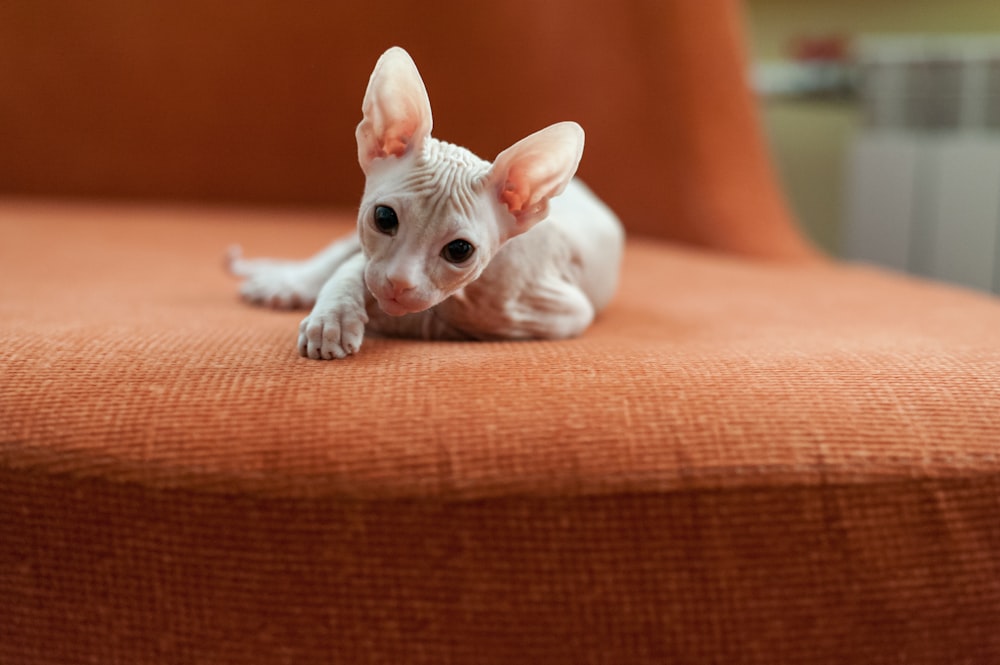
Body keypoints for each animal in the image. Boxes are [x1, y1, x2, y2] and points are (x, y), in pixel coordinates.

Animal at [229, 47, 620, 360]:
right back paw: (286, 282)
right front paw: (333, 319)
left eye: (460, 250)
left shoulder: (560, 311)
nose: (398, 283)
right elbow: (354, 268)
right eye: (384, 218)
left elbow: (439, 318)